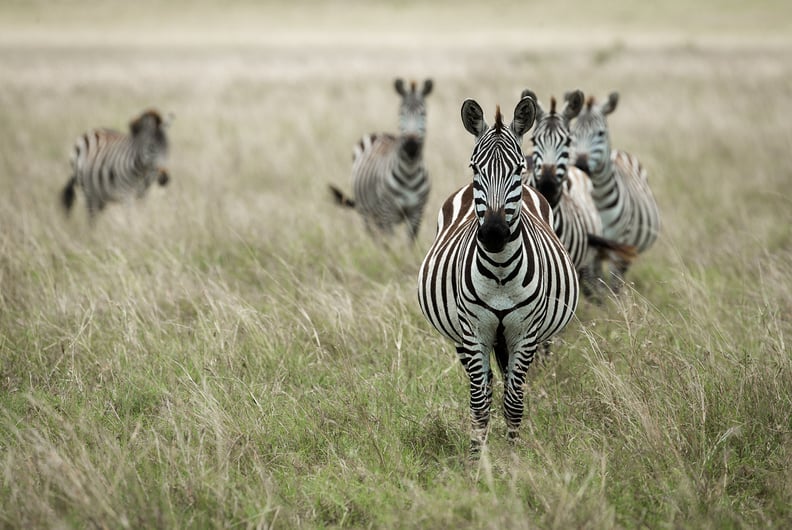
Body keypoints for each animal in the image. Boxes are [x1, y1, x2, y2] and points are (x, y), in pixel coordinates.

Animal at [328, 77, 434, 242]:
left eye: (423, 113)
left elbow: (410, 245)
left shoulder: (417, 213)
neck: (409, 172)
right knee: (376, 239)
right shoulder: (388, 212)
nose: (410, 146)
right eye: (401, 113)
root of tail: (380, 134)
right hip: (368, 214)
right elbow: (392, 245)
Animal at [418, 95, 580, 454]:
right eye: (475, 168)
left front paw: (514, 458)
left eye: (518, 168)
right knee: (487, 386)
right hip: (463, 338)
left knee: (506, 385)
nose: (493, 234)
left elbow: (514, 402)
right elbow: (479, 404)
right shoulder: (473, 330)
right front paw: (476, 460)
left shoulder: (525, 333)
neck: (501, 273)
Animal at [572, 92, 660, 288]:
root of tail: (618, 152)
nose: (581, 165)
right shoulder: (591, 247)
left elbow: (612, 285)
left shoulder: (618, 246)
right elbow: (595, 283)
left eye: (600, 133)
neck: (597, 199)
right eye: (572, 133)